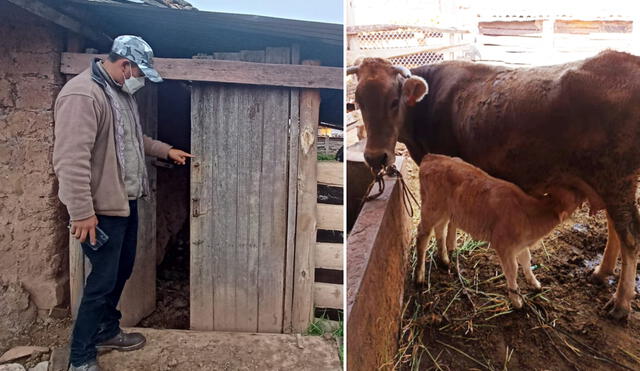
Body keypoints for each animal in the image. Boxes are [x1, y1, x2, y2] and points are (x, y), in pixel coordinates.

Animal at [418, 153, 584, 308]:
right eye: (574, 194)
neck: (530, 213)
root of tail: (431, 157)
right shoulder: (504, 245)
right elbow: (512, 270)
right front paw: (516, 301)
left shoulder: (521, 245)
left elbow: (526, 260)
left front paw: (535, 283)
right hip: (431, 208)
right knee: (422, 235)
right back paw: (419, 276)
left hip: (445, 211)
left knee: (440, 228)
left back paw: (444, 260)